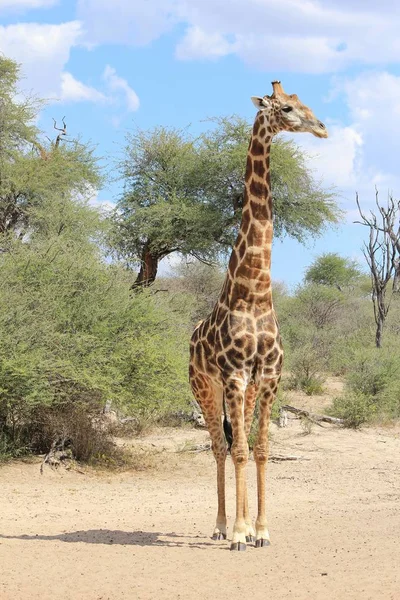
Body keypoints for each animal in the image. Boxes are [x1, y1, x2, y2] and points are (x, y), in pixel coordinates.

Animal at [189, 81, 326, 552]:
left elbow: (262, 450)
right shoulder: (233, 375)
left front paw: (261, 530)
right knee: (219, 446)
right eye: (285, 108)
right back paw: (220, 526)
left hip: (242, 392)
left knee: (237, 443)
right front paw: (236, 533)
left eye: (303, 104)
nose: (322, 128)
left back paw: (244, 527)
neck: (255, 294)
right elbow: (240, 451)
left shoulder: (266, 378)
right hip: (205, 388)